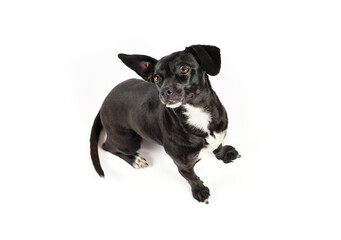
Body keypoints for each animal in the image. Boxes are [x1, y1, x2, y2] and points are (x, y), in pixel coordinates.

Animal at [89, 44, 240, 202]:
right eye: (157, 78)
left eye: (184, 69)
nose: (164, 92)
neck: (197, 114)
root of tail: (102, 104)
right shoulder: (183, 165)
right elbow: (192, 178)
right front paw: (199, 190)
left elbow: (218, 146)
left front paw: (224, 154)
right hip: (128, 141)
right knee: (107, 146)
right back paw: (135, 159)